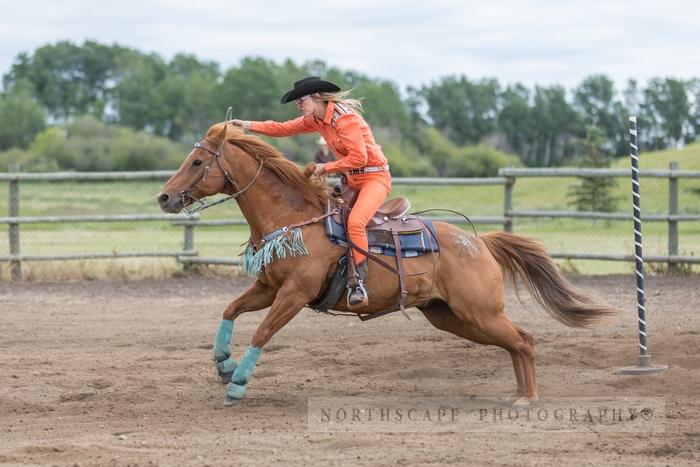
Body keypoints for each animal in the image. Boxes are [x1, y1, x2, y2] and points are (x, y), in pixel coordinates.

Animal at [157, 123, 612, 406]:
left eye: (196, 162)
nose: (164, 197)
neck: (293, 219)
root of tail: (478, 242)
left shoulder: (295, 293)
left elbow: (263, 332)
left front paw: (236, 385)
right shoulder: (268, 287)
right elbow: (230, 309)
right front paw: (222, 363)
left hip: (479, 311)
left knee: (525, 340)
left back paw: (528, 398)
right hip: (451, 316)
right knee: (516, 342)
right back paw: (519, 394)